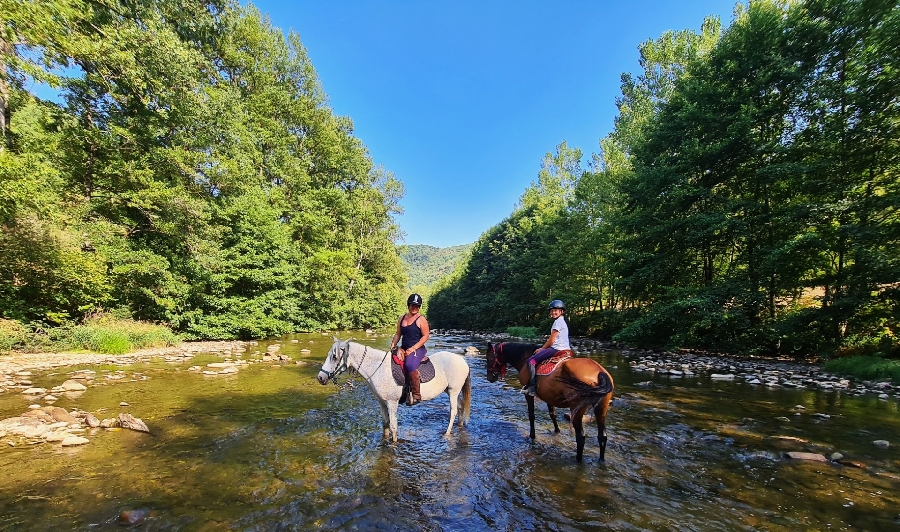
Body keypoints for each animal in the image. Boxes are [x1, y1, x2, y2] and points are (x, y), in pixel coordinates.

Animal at [314, 338, 472, 442]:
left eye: (334, 357)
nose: (321, 377)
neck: (377, 368)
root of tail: (462, 360)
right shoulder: (382, 402)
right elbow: (385, 424)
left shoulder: (392, 403)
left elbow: (393, 427)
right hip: (451, 391)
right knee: (460, 407)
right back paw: (459, 426)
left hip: (453, 391)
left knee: (453, 411)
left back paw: (447, 433)